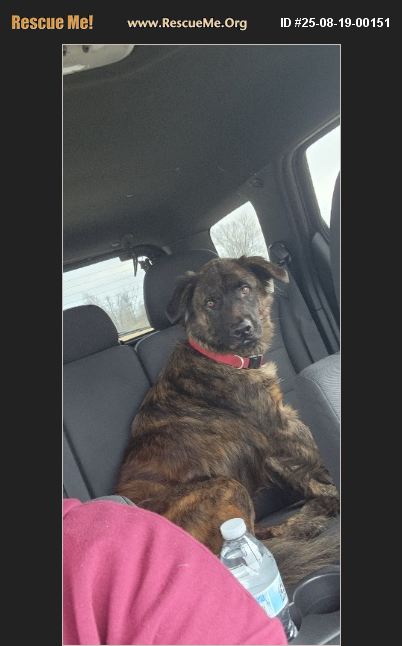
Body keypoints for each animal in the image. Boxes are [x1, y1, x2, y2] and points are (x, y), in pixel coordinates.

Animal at [117, 256, 339, 585]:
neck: (221, 358)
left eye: (244, 288)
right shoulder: (280, 428)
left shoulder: (269, 448)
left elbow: (305, 474)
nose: (243, 329)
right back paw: (303, 525)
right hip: (226, 486)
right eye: (210, 302)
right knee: (252, 543)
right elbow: (315, 447)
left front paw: (328, 492)